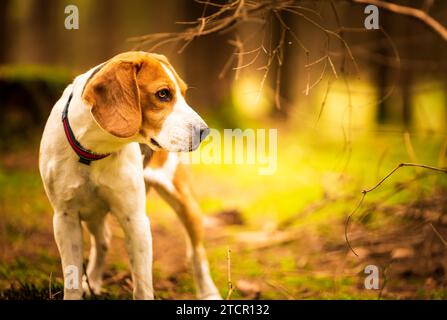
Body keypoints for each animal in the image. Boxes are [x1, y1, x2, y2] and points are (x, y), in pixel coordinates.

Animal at [39, 51, 221, 298]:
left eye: (183, 93)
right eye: (163, 94)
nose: (204, 131)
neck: (94, 151)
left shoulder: (135, 220)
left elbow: (143, 285)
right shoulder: (64, 218)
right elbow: (72, 279)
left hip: (186, 203)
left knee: (196, 252)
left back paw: (208, 292)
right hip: (91, 212)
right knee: (103, 241)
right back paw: (93, 281)